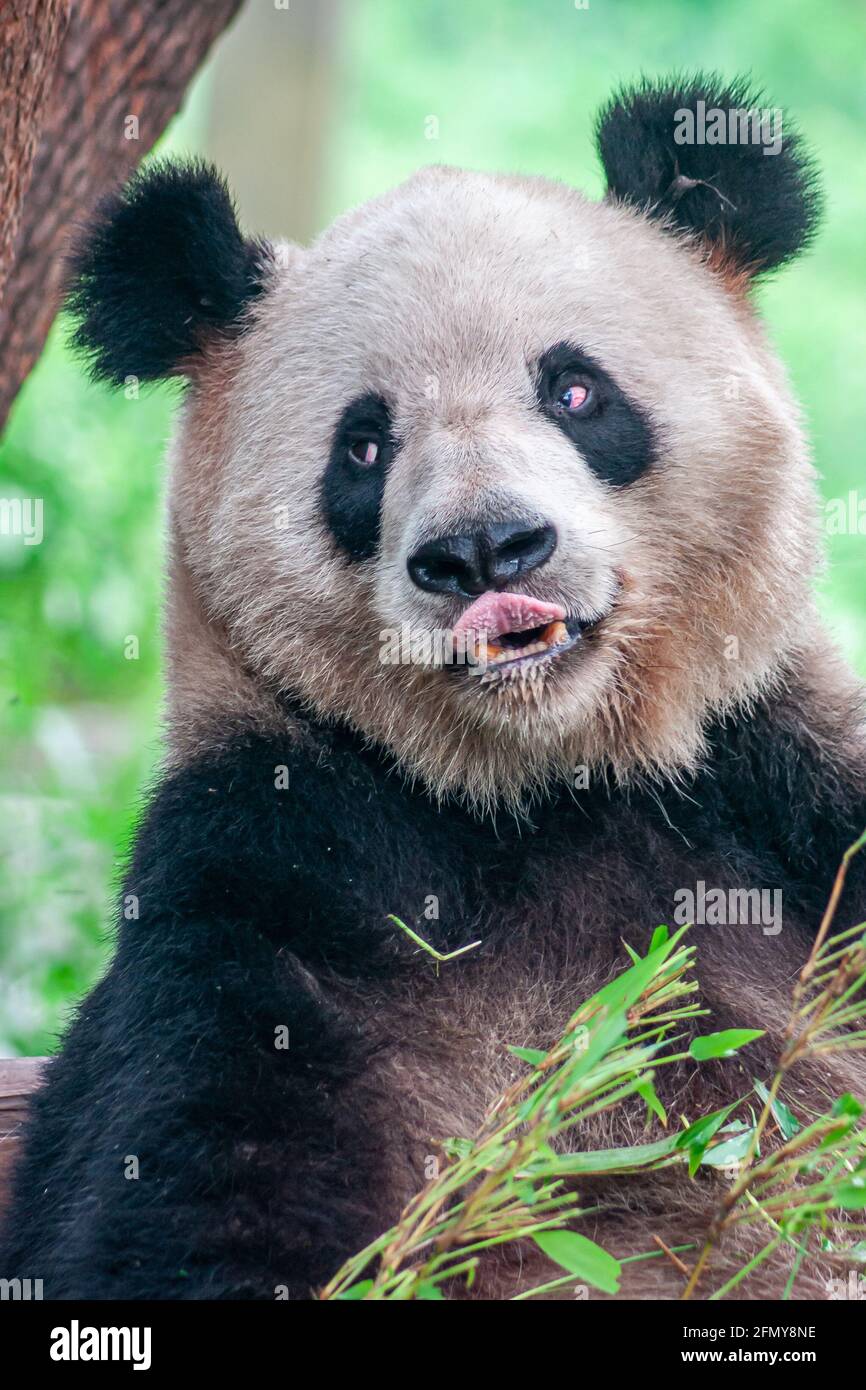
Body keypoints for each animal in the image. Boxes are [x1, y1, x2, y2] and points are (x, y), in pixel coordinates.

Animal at [1, 76, 866, 1301]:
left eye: (574, 389)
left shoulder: (779, 783)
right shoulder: (271, 869)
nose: (484, 550)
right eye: (364, 446)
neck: (540, 789)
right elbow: (178, 1189)